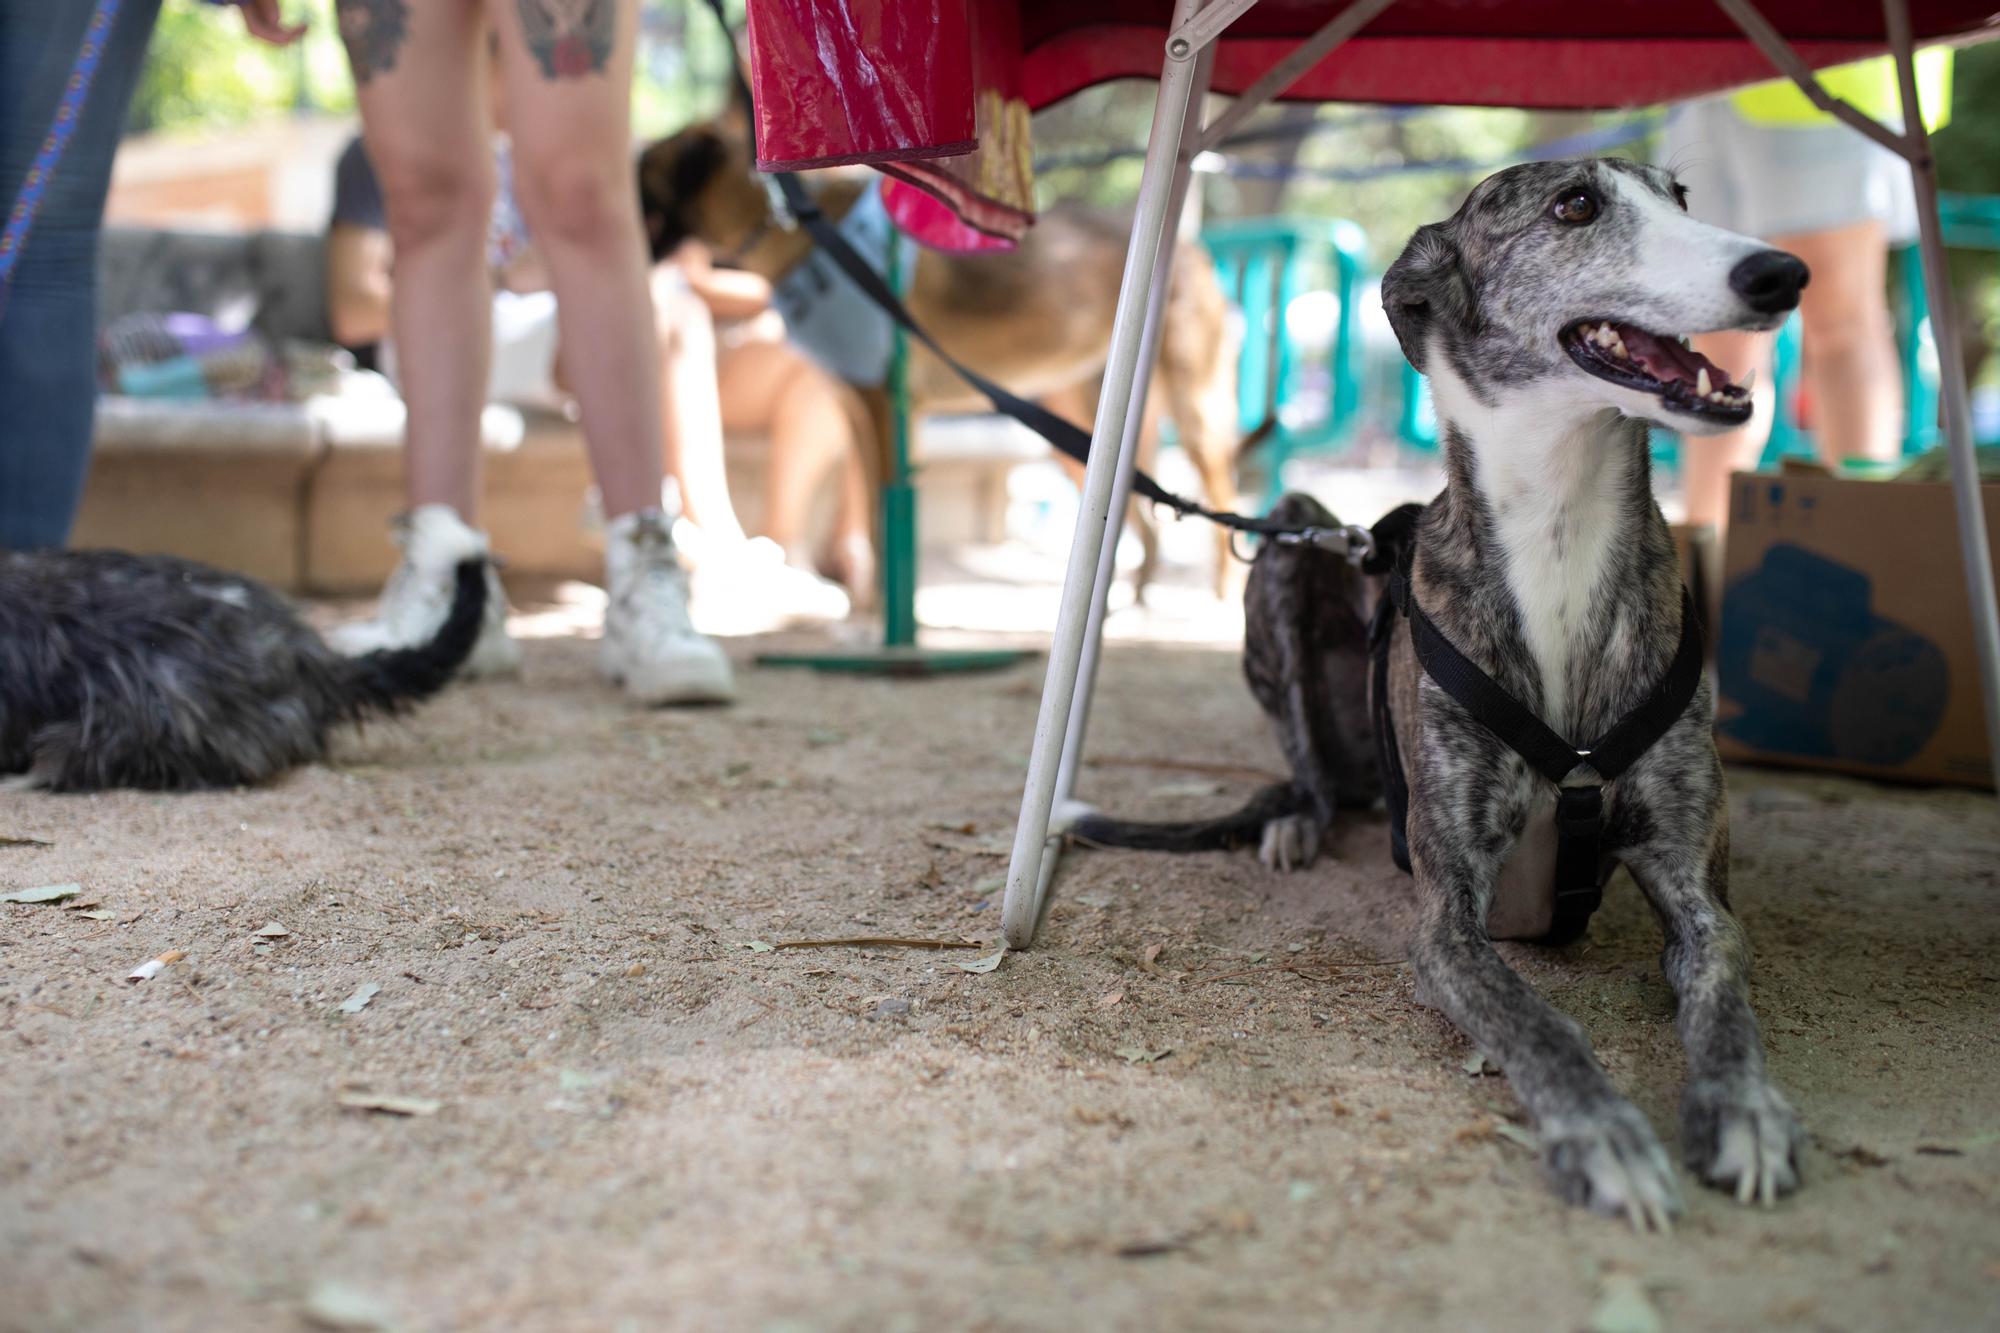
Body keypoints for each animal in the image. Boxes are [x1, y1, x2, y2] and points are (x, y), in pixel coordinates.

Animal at [636, 122, 1248, 592]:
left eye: (641, 177)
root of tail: (1189, 248)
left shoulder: (888, 410)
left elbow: (884, 521)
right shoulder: (858, 412)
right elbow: (876, 517)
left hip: (1192, 412)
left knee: (1222, 499)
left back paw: (1222, 594)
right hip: (1082, 429)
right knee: (1140, 520)